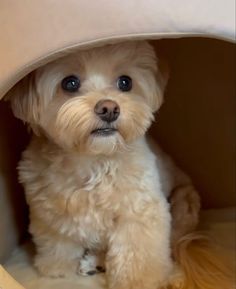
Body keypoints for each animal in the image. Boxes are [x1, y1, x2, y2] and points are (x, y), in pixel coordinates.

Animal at [5, 41, 232, 288]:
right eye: (69, 83)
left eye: (126, 82)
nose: (109, 108)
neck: (93, 159)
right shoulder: (49, 213)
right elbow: (59, 243)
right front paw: (56, 268)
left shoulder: (141, 214)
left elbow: (138, 256)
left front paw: (139, 282)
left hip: (184, 202)